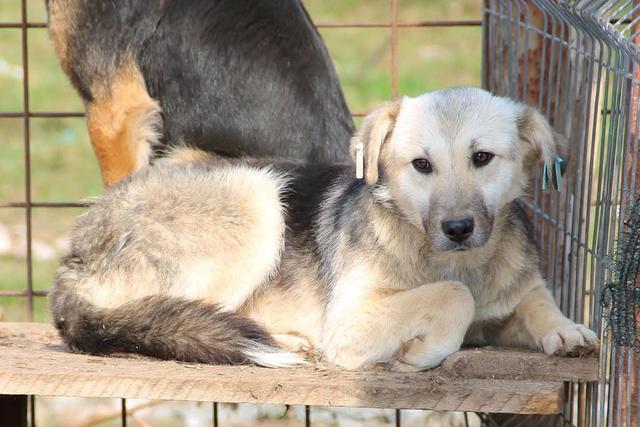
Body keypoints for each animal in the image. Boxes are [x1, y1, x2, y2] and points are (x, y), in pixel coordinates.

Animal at [51, 88, 600, 372]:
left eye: (482, 158)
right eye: (422, 165)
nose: (458, 228)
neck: (458, 262)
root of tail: (74, 254)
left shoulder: (512, 294)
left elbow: (535, 300)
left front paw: (565, 330)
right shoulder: (350, 322)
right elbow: (451, 296)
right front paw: (425, 350)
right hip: (256, 195)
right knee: (167, 314)